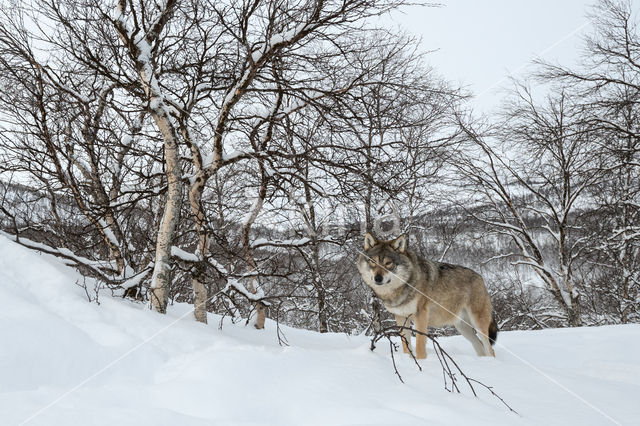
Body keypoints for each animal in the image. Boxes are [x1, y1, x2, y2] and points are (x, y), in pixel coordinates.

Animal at [358, 233, 498, 360]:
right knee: (480, 347)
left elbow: (420, 344)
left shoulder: (420, 315)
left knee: (490, 349)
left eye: (388, 263)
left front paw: (422, 362)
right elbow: (406, 345)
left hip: (478, 324)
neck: (401, 287)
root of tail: (480, 277)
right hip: (462, 328)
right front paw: (408, 360)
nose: (378, 278)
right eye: (372, 262)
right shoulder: (400, 317)